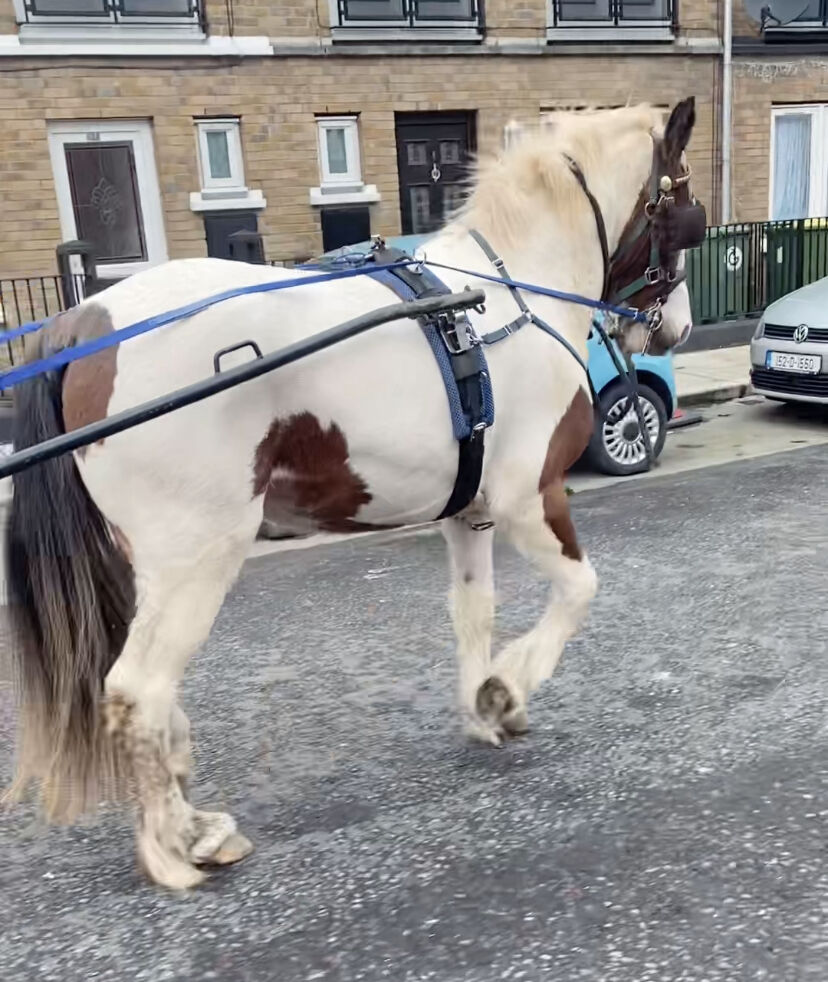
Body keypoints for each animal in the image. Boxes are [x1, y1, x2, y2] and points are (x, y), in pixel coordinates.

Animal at [4, 98, 702, 891]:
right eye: (689, 210)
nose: (676, 328)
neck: (508, 293)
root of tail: (83, 324)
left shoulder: (471, 513)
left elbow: (474, 610)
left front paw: (483, 706)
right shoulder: (530, 499)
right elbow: (580, 590)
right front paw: (508, 687)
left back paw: (191, 820)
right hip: (197, 556)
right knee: (138, 690)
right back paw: (175, 847)